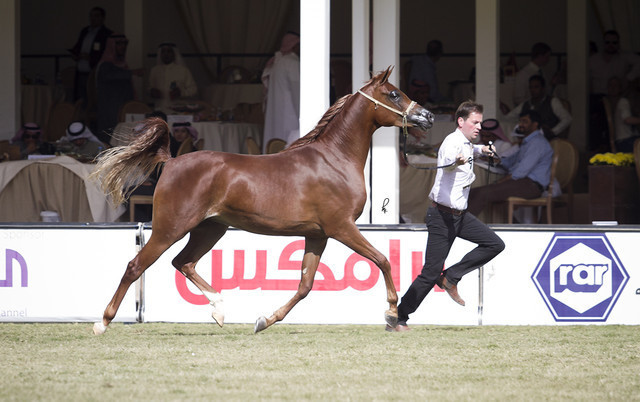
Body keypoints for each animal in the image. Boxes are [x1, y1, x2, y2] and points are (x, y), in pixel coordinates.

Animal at [91, 66, 434, 335]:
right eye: (393, 94)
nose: (427, 116)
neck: (334, 160)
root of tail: (172, 161)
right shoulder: (342, 227)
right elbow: (383, 260)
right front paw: (391, 314)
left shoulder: (318, 235)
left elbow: (305, 286)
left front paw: (263, 320)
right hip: (170, 228)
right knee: (136, 265)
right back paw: (102, 323)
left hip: (209, 229)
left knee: (183, 262)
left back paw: (219, 309)